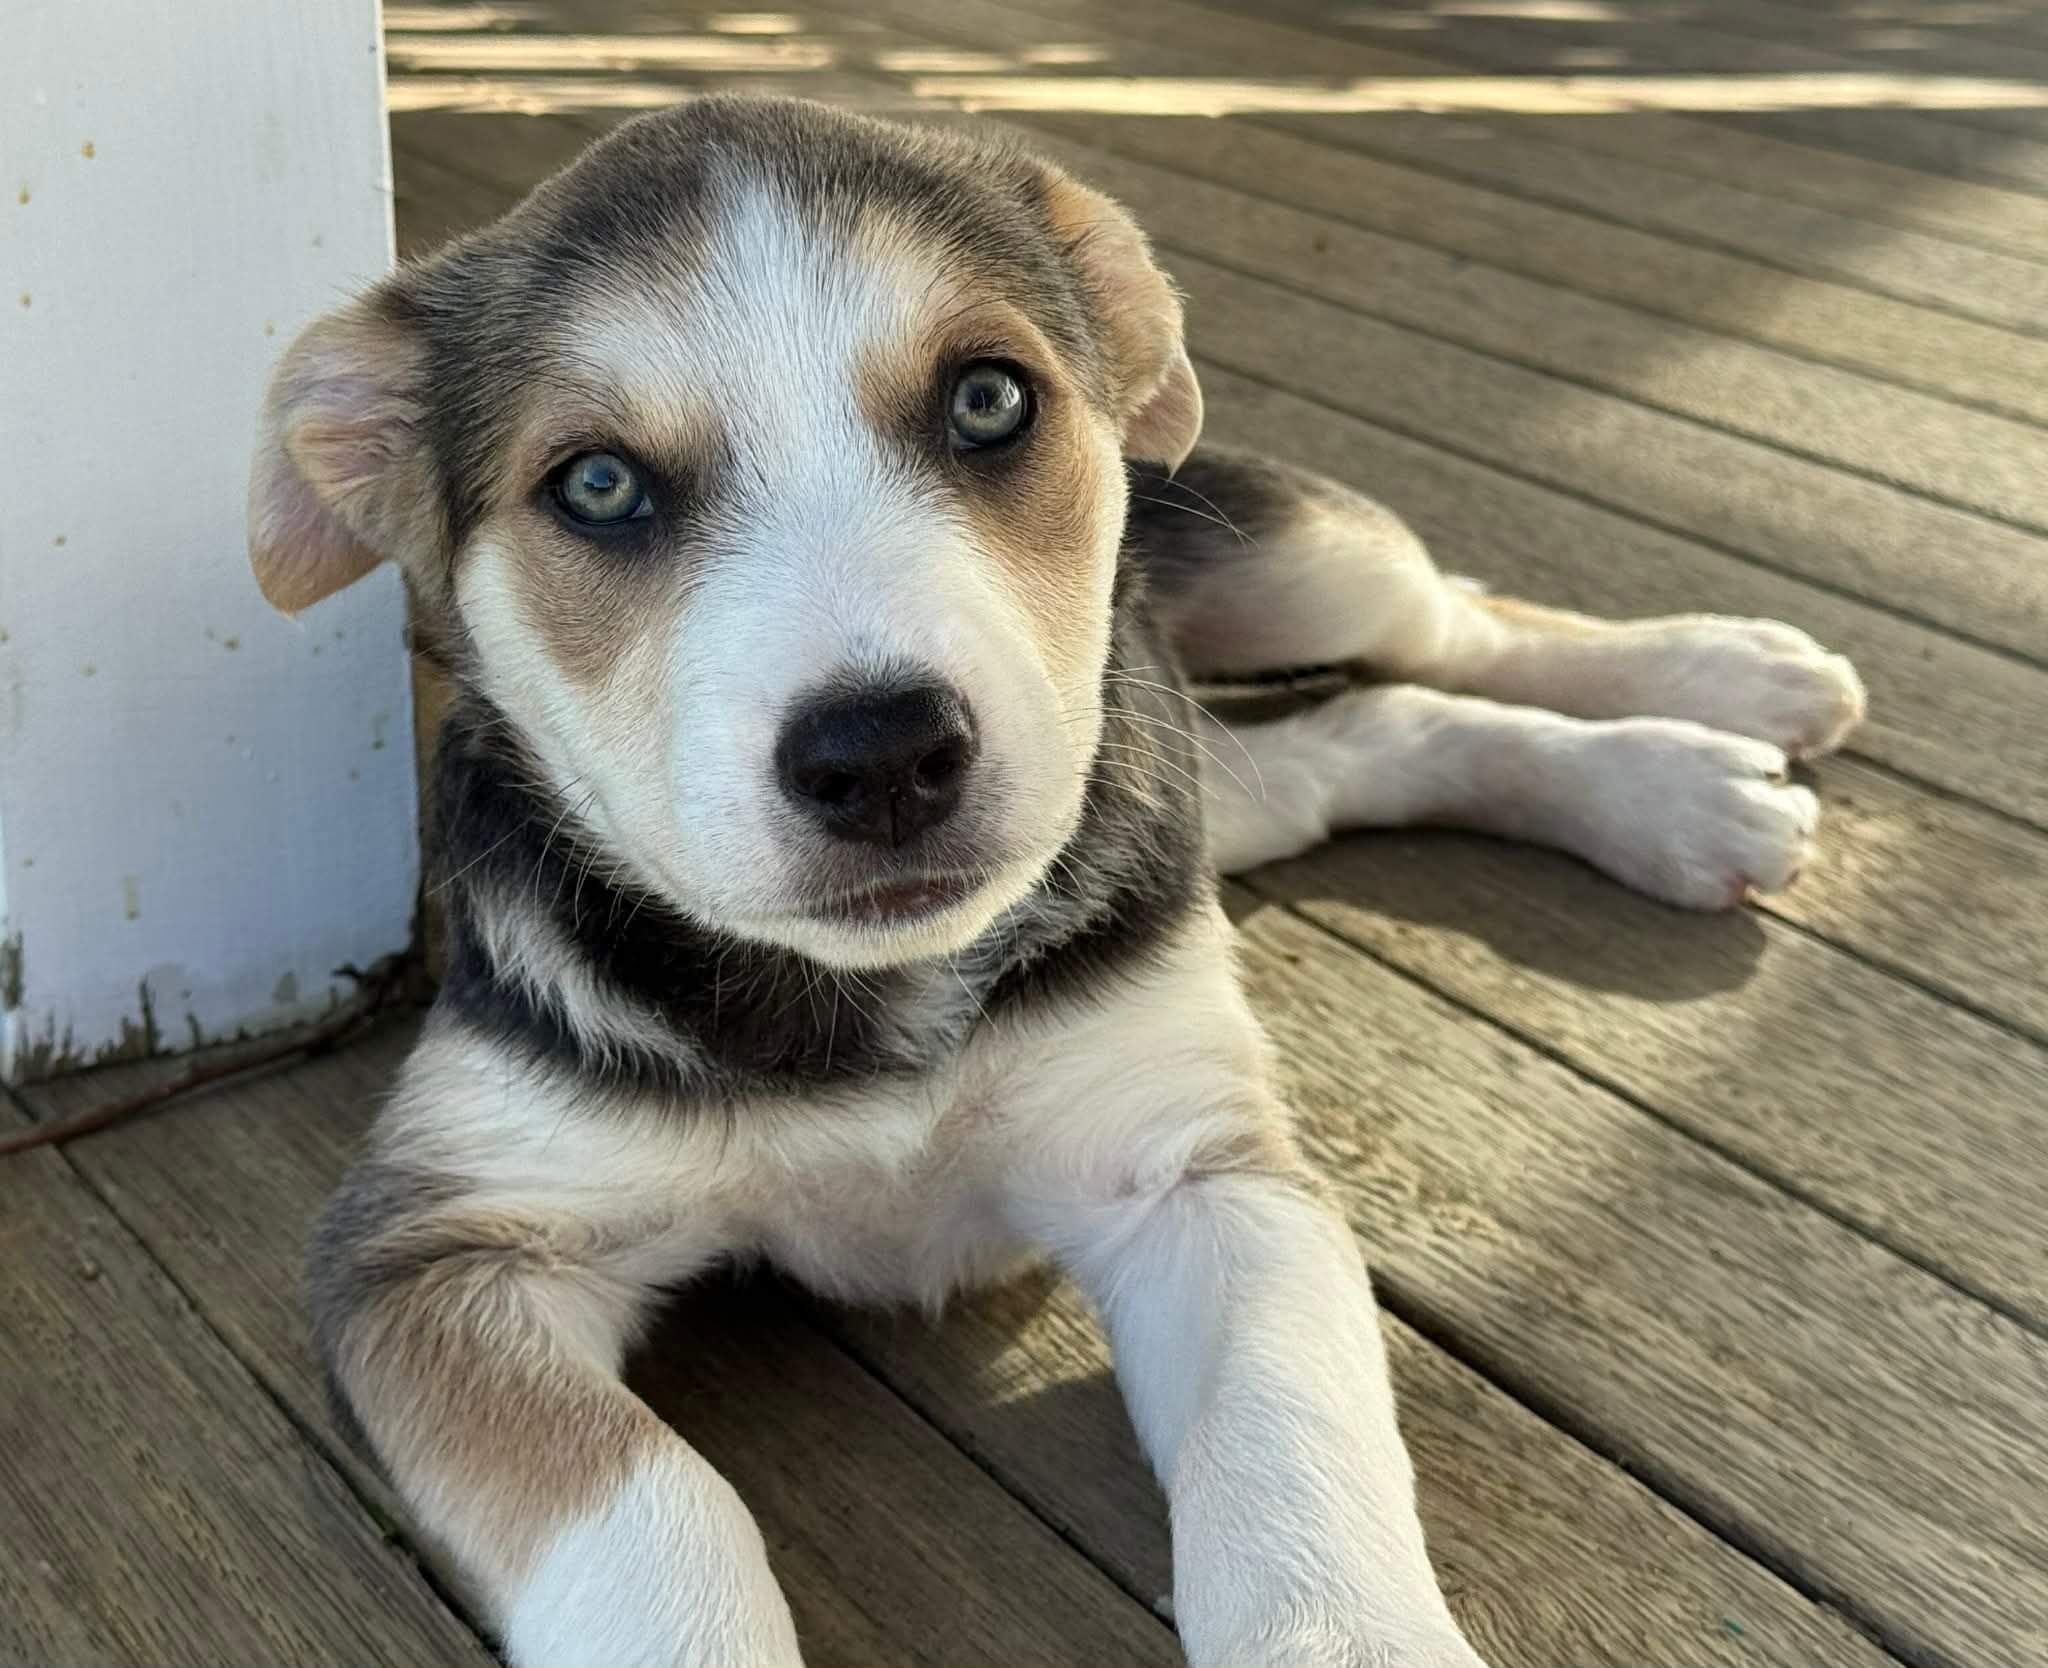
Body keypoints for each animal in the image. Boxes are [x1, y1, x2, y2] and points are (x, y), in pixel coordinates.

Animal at [249, 96, 1865, 1667]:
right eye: (594, 483)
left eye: (989, 401)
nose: (883, 756)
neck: (874, 1001)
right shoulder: (438, 1252)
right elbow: (659, 1511)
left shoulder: (1197, 1175)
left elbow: (1288, 1482)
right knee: (1361, 737)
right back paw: (1680, 793)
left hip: (1293, 563)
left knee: (1454, 622)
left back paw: (1725, 696)